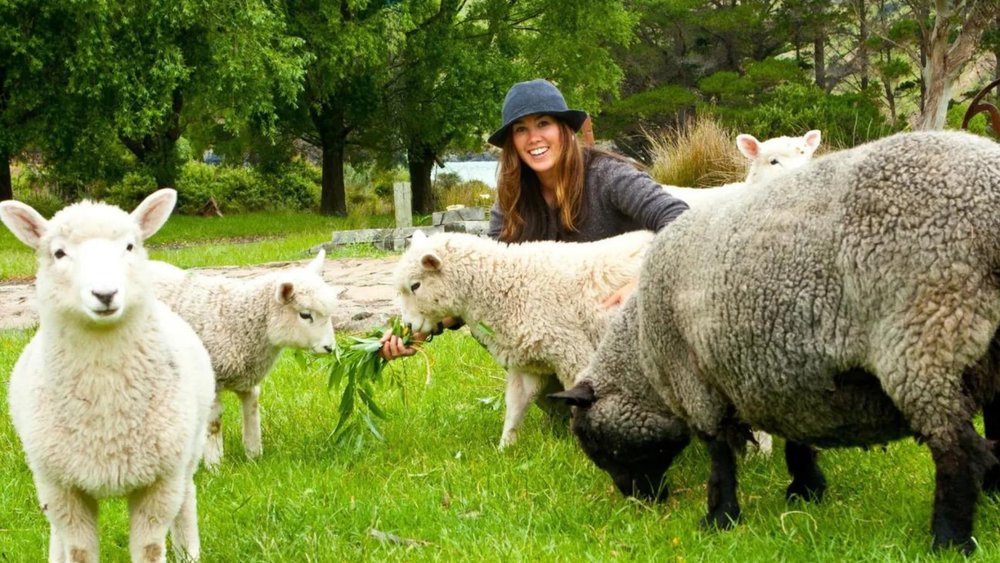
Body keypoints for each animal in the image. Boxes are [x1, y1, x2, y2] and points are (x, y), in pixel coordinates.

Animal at [0, 189, 215, 562]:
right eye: (58, 252)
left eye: (130, 246)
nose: (105, 294)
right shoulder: (61, 486)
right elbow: (78, 551)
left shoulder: (160, 482)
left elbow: (149, 548)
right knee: (56, 531)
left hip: (189, 449)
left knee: (187, 498)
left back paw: (189, 553)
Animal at [147, 250, 339, 469]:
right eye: (305, 315)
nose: (329, 348)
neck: (237, 320)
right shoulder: (213, 378)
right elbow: (214, 423)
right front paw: (215, 465)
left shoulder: (247, 379)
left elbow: (252, 411)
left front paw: (254, 456)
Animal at [393, 228, 654, 448]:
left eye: (415, 285)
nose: (408, 326)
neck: (509, 283)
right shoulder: (527, 364)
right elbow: (515, 405)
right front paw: (505, 448)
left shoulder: (572, 350)